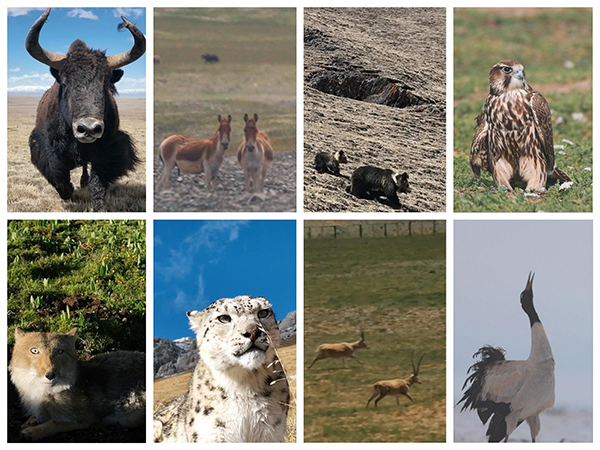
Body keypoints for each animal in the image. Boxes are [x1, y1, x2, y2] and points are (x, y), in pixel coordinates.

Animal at [152, 296, 288, 442]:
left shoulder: (271, 433)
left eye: (263, 313)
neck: (246, 383)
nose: (253, 332)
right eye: (224, 318)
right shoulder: (213, 435)